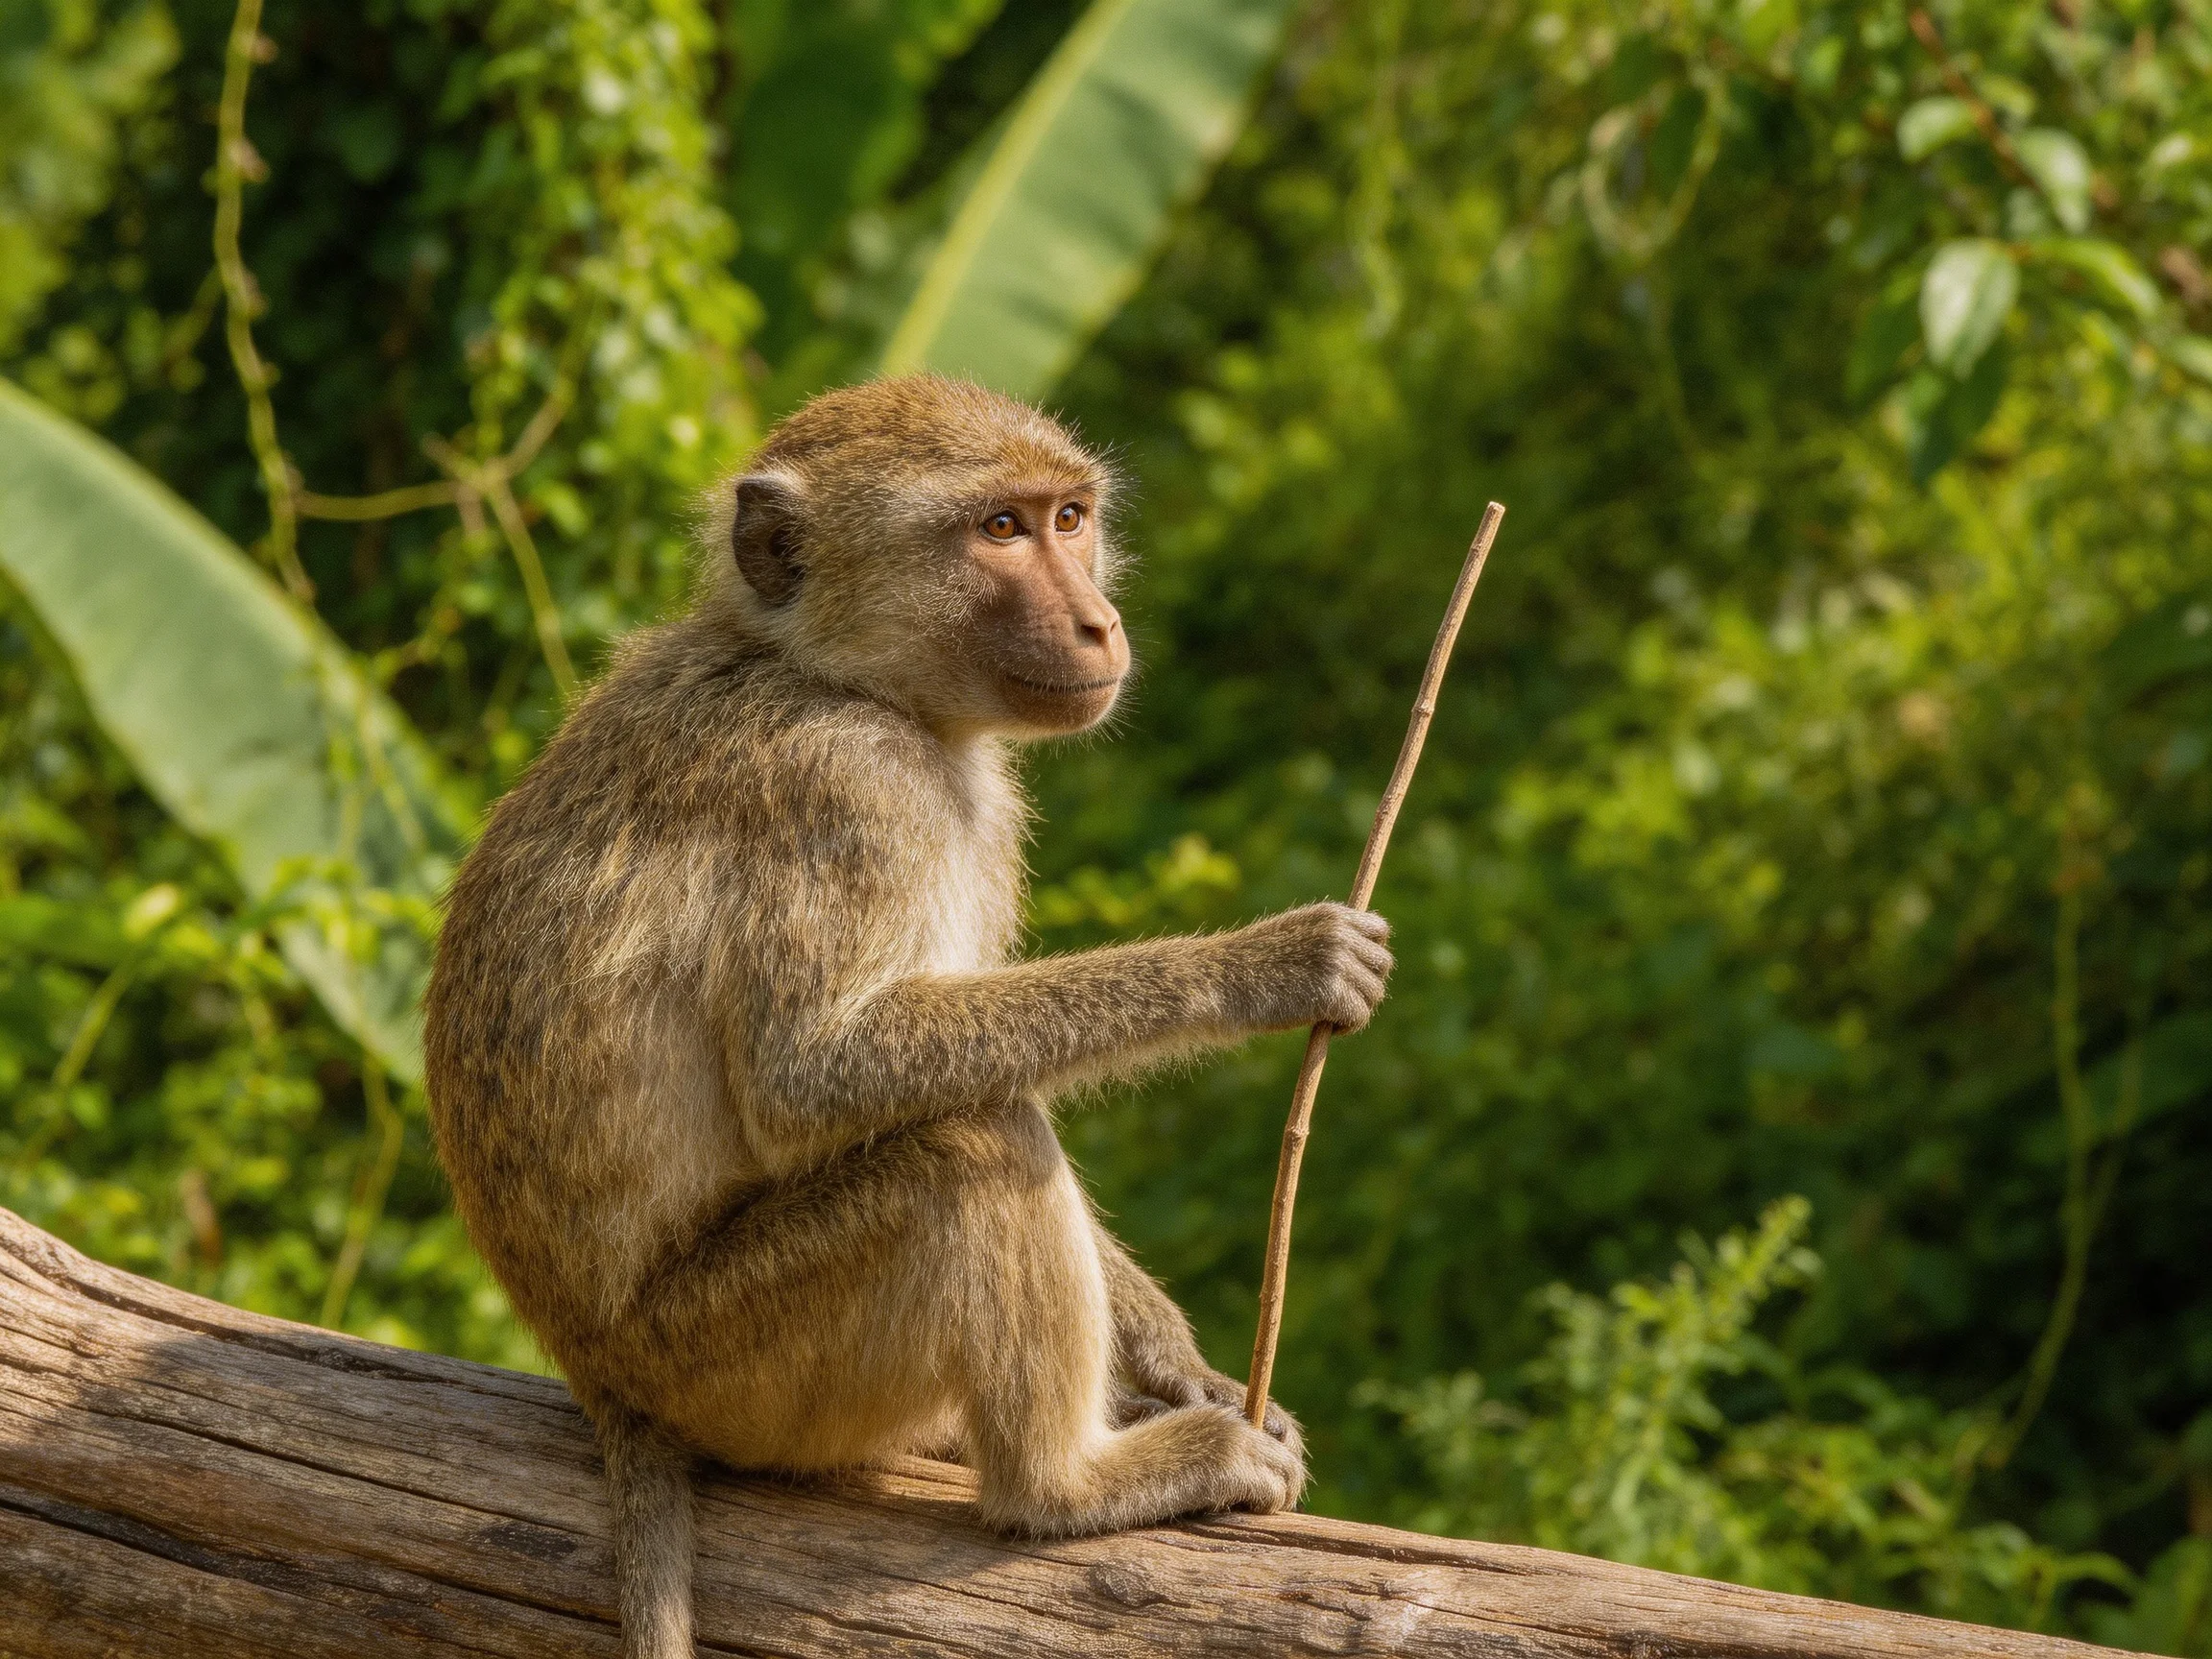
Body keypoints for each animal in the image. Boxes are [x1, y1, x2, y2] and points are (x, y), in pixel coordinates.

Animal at [423, 375, 1394, 1658]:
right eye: (998, 531)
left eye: (1070, 517)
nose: (1100, 626)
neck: (839, 676)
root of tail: (606, 1383)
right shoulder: (848, 787)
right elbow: (816, 1075)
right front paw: (1267, 965)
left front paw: (1178, 1362)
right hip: (728, 1363)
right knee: (967, 1148)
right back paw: (1066, 1487)